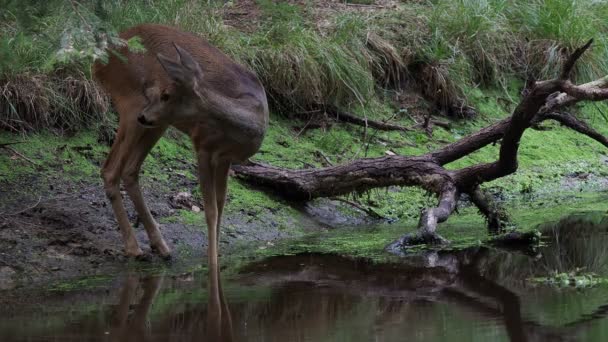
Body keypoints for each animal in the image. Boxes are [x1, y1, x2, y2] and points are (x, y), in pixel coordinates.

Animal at [93, 23, 268, 268]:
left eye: (167, 95)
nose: (145, 114)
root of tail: (99, 60)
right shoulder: (203, 146)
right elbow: (211, 210)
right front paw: (211, 260)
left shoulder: (226, 158)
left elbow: (222, 203)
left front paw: (217, 256)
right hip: (133, 102)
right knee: (110, 169)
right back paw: (134, 248)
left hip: (155, 122)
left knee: (129, 170)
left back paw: (161, 247)